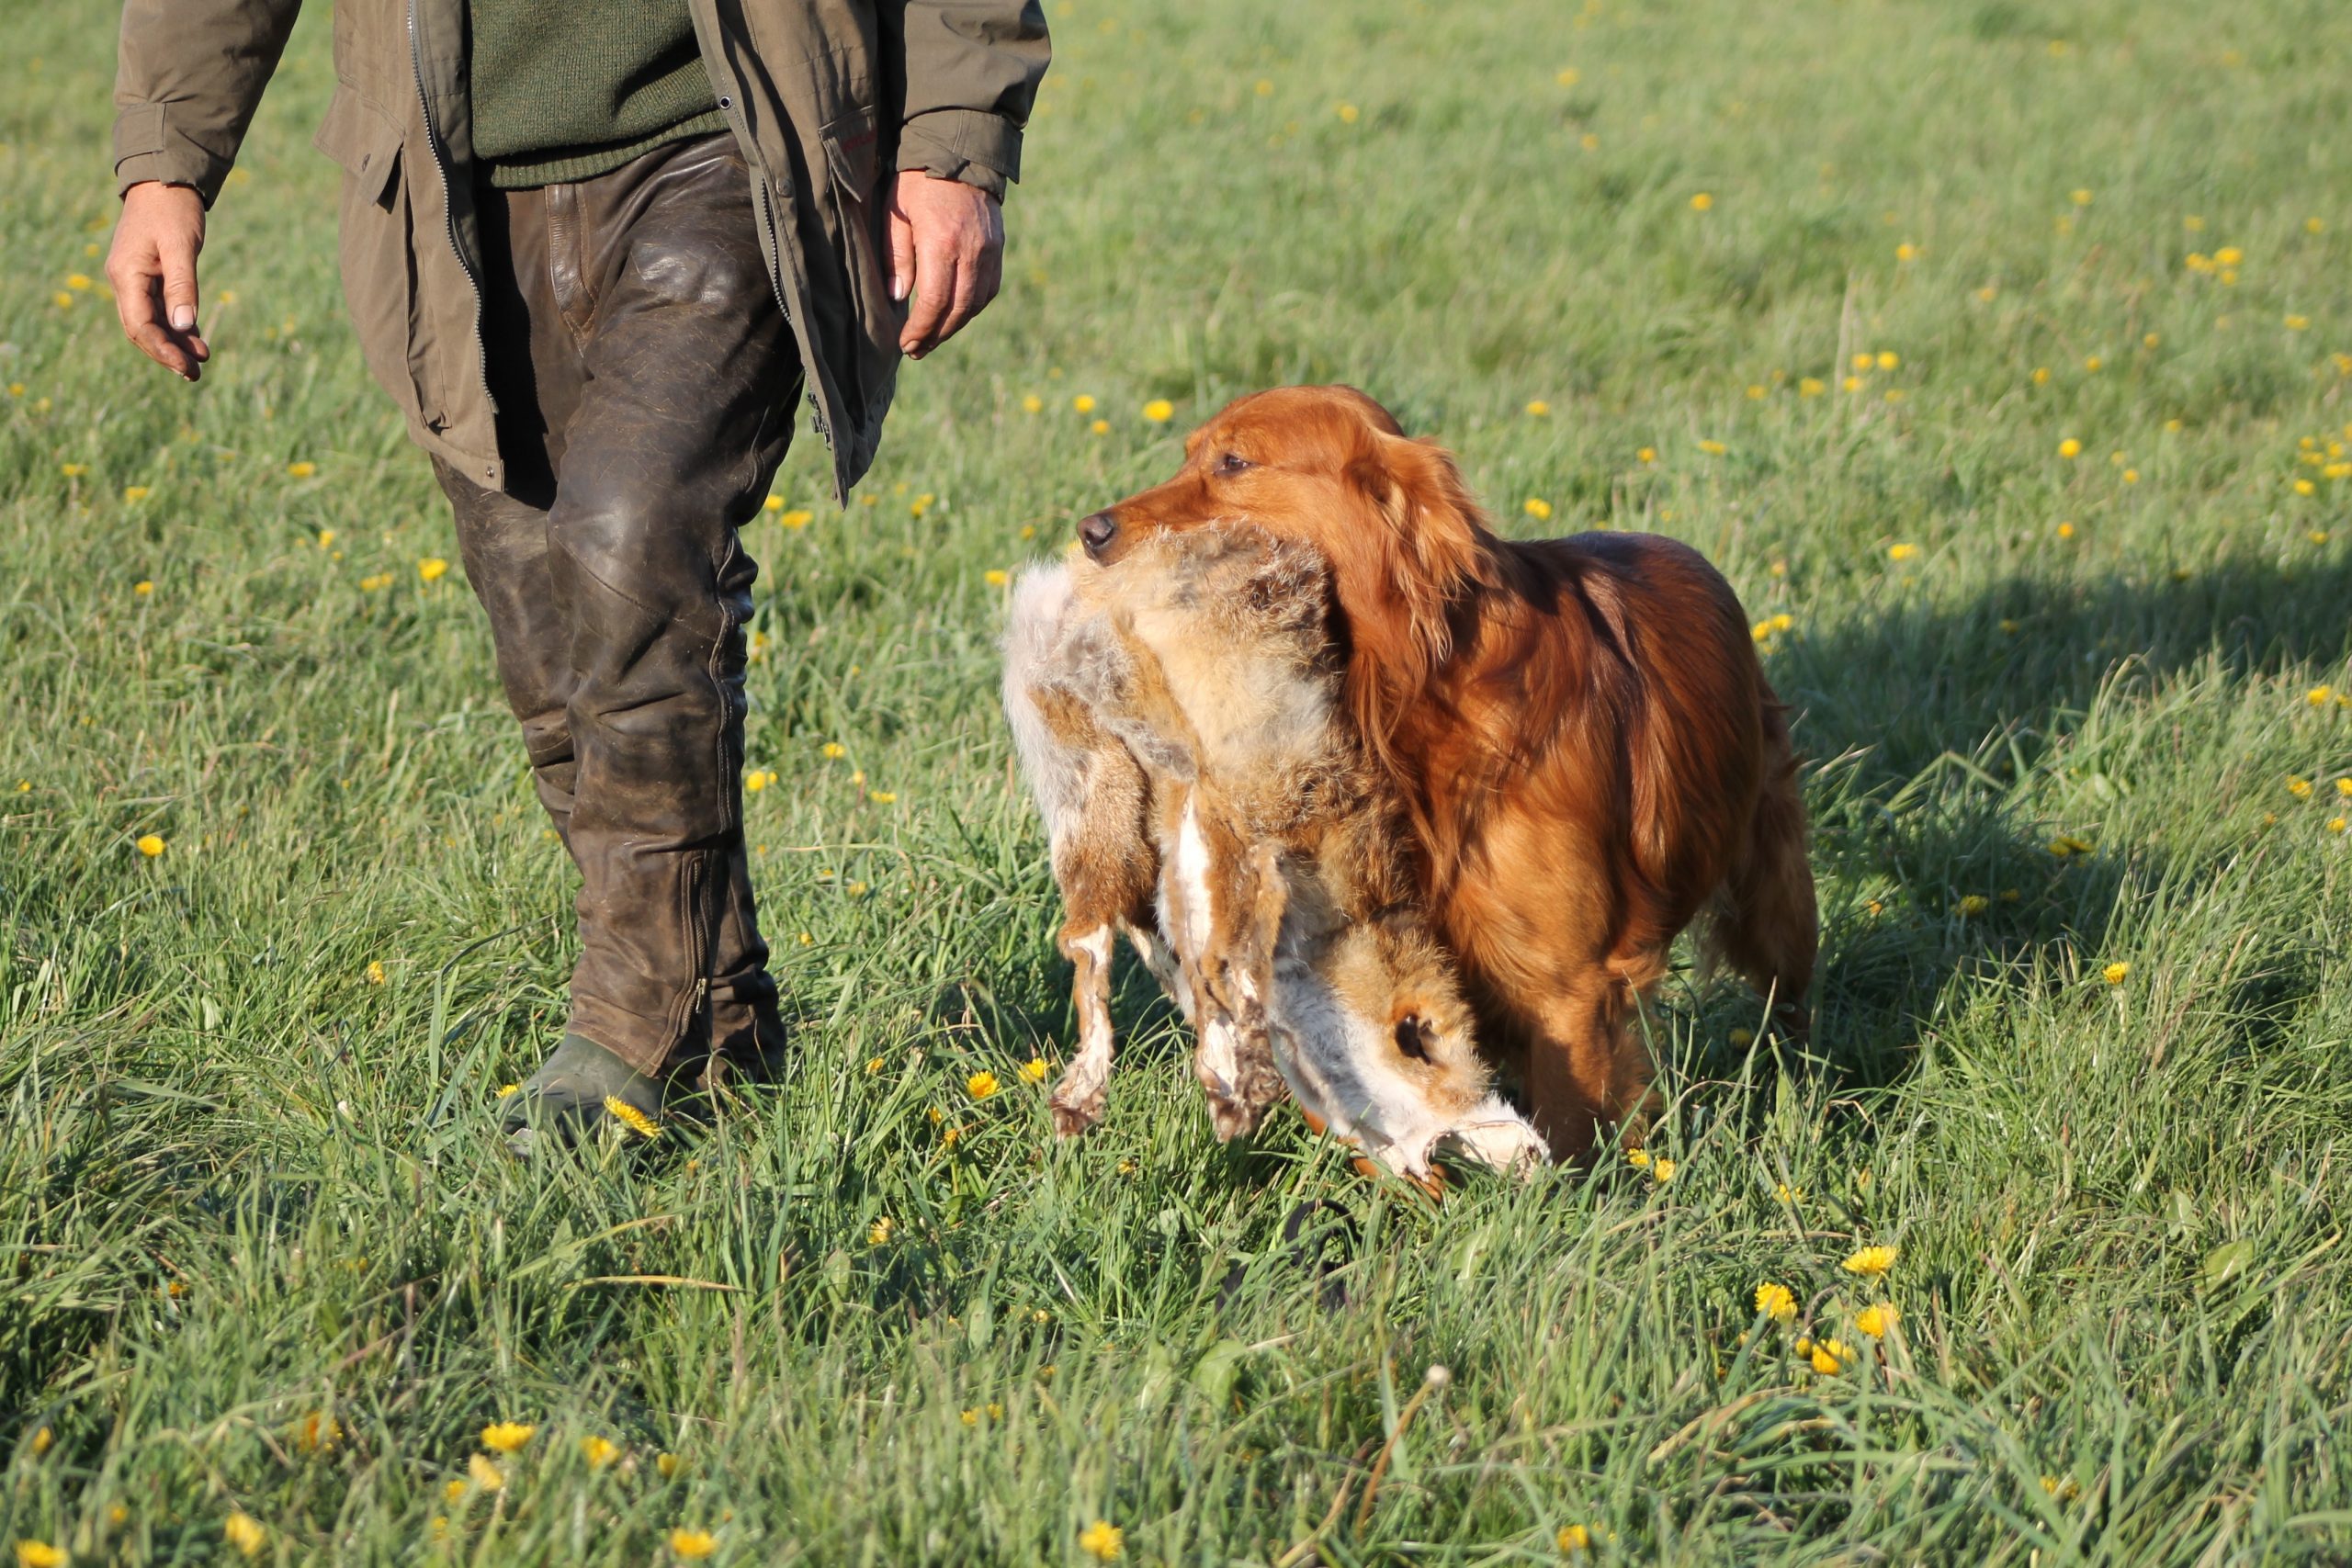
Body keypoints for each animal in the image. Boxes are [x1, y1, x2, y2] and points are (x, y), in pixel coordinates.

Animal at [1001, 522, 1552, 1184]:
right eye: (1431, 1056)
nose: (1539, 1157)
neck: (1331, 936)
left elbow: (1184, 961)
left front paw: (1221, 1076)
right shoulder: (1247, 847)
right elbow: (1219, 964)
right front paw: (1239, 1083)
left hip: (1094, 796)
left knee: (1092, 932)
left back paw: (1083, 1093)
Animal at [1068, 385, 1815, 1161]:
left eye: (1235, 462)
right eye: (1189, 455)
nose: (1090, 531)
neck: (1401, 698)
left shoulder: (1569, 983)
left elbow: (1570, 1123)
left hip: (1774, 893)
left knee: (1789, 988)